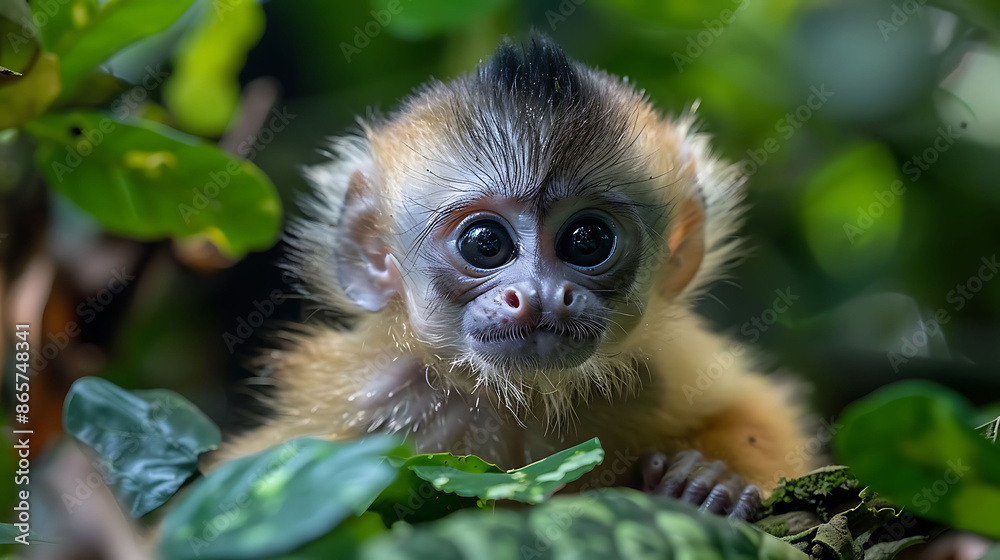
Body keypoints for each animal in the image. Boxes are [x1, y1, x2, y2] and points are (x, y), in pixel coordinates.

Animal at [214, 32, 812, 521]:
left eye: (588, 239)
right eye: (486, 243)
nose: (541, 295)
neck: (522, 400)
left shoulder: (660, 368)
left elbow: (754, 408)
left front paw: (712, 478)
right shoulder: (367, 402)